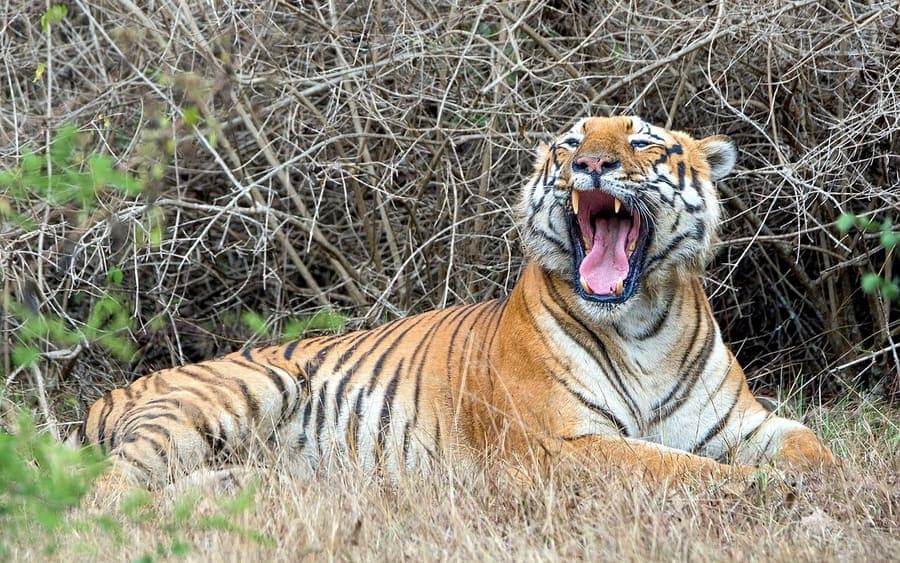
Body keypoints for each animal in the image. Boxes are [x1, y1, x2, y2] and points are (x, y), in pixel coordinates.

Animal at [71, 115, 834, 488]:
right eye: (570, 143)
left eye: (643, 142)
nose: (592, 164)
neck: (640, 322)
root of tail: (107, 395)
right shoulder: (563, 444)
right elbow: (675, 467)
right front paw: (764, 492)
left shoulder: (742, 422)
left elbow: (815, 448)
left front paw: (823, 484)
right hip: (233, 394)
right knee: (106, 494)